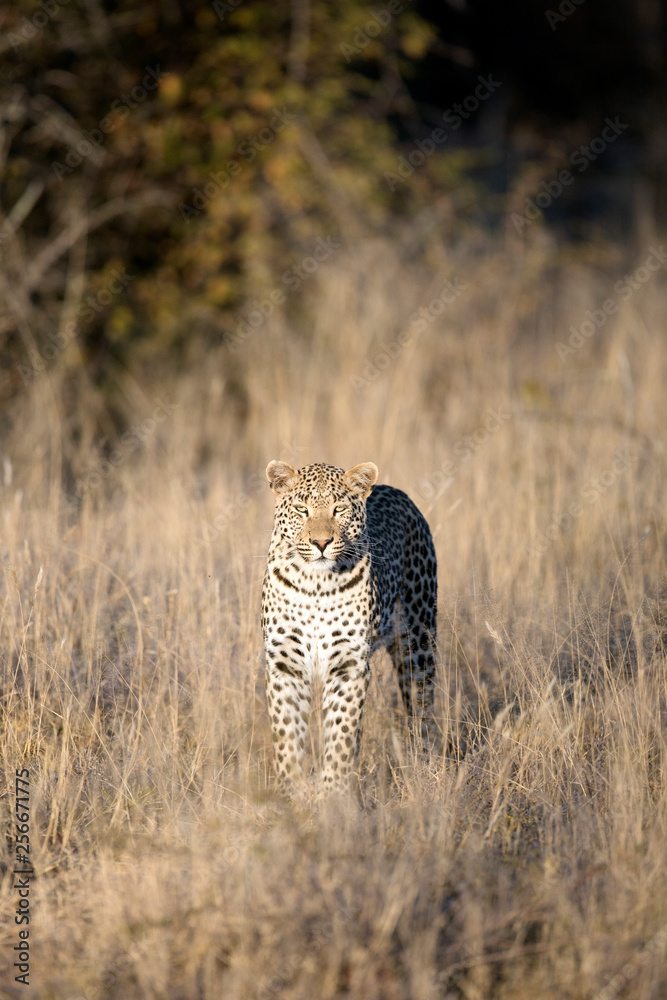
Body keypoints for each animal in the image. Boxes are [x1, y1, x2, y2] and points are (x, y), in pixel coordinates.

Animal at [261, 460, 438, 794]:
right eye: (301, 509)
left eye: (339, 509)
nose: (320, 543)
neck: (315, 584)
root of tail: (393, 489)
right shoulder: (285, 663)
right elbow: (286, 731)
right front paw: (291, 789)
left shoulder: (349, 665)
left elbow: (342, 733)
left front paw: (333, 792)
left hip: (419, 642)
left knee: (422, 711)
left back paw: (426, 773)